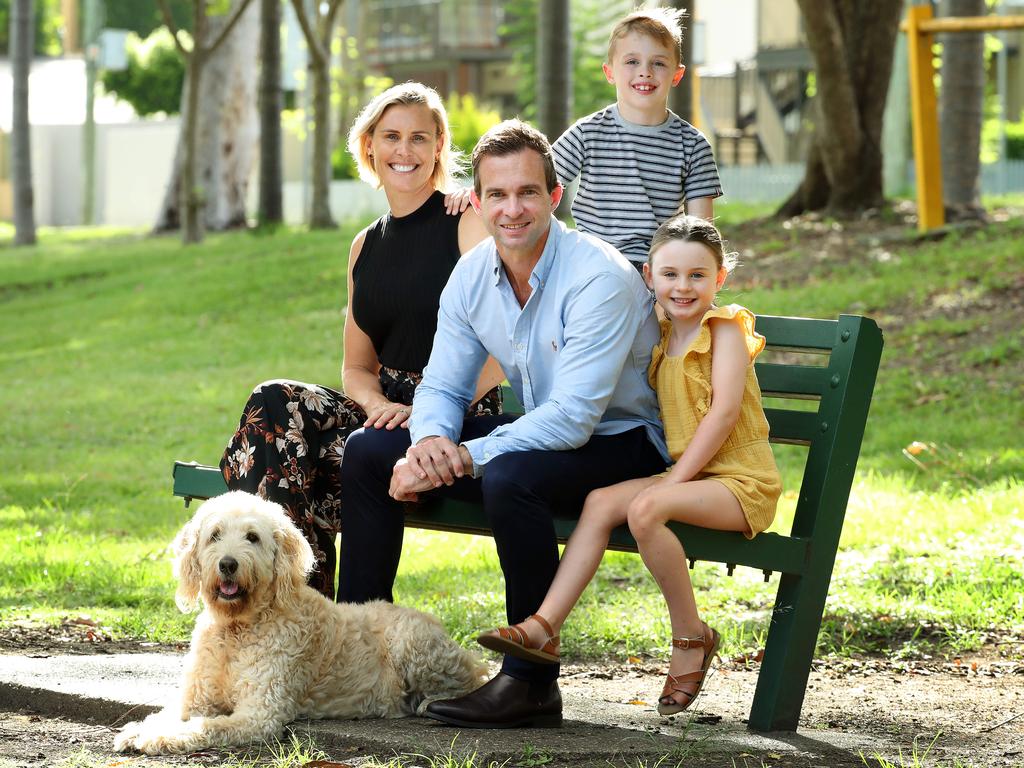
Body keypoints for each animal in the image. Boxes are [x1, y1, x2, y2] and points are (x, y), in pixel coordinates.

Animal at [117, 493, 485, 757]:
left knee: (467, 681)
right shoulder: (196, 701)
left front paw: (159, 738)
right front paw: (139, 729)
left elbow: (205, 727)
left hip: (413, 643)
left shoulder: (259, 713)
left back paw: (432, 704)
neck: (237, 629)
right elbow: (170, 713)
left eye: (252, 537)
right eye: (215, 535)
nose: (228, 564)